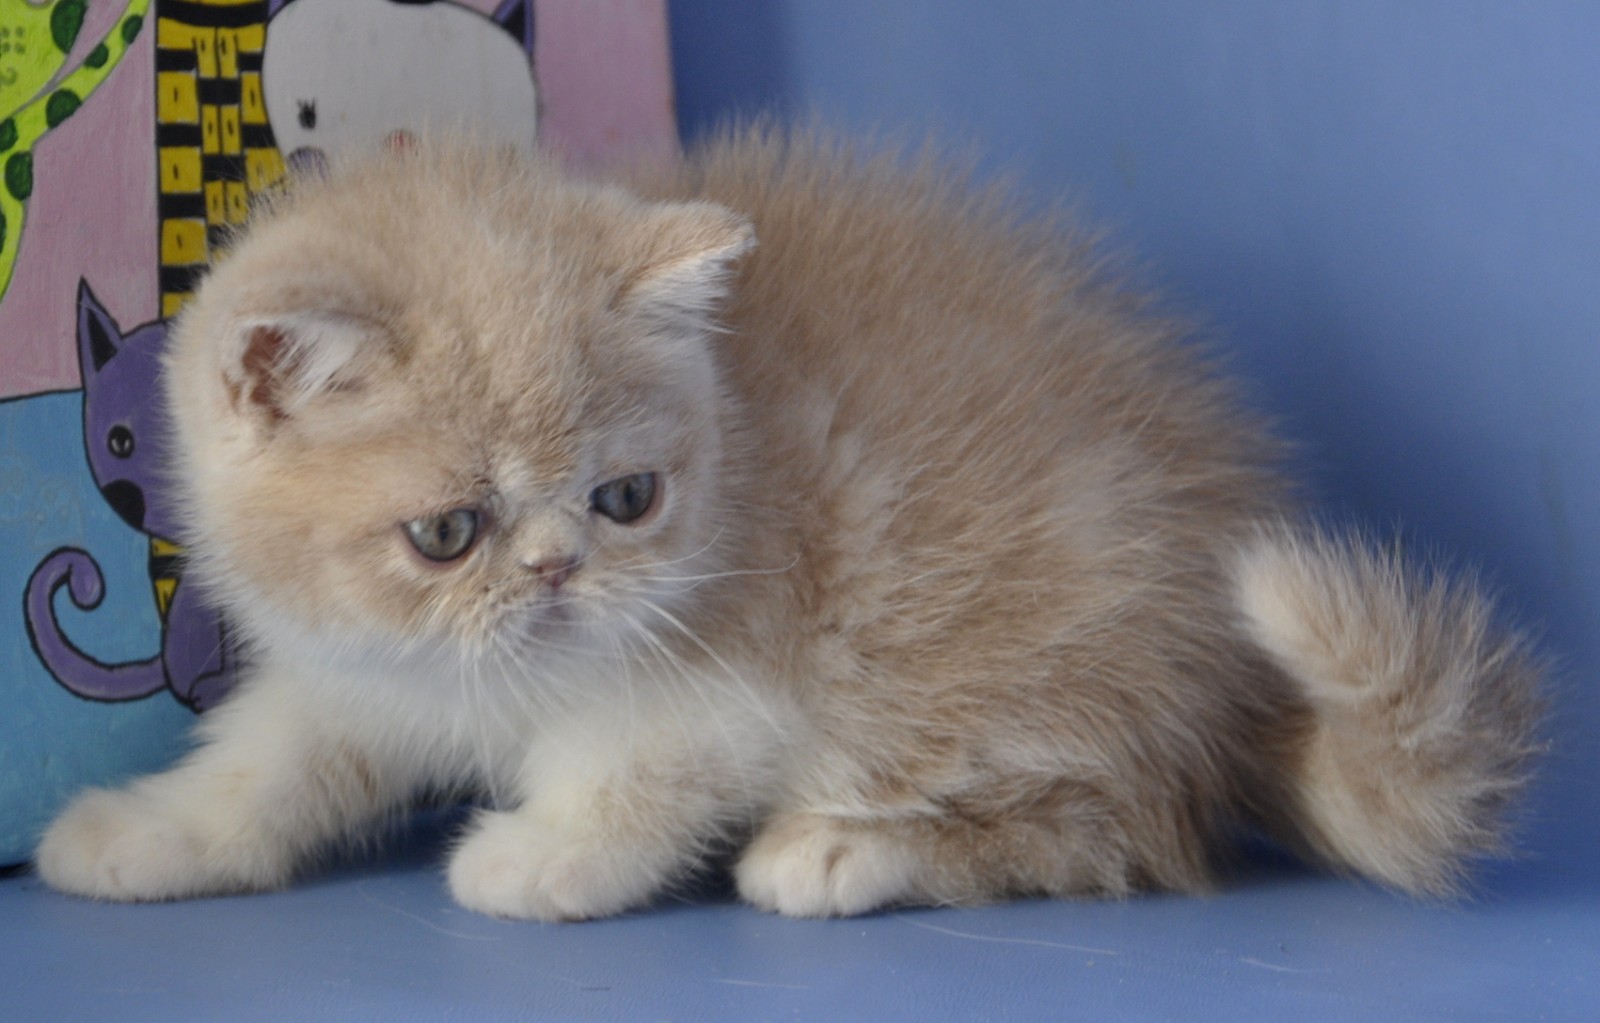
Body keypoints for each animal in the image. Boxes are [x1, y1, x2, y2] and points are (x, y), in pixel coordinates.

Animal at [34, 128, 1536, 922]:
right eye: (448, 532)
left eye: (625, 499)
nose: (558, 567)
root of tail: (1227, 694)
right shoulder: (353, 673)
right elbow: (263, 768)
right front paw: (136, 830)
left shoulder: (728, 680)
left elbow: (631, 776)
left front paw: (542, 853)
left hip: (966, 653)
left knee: (1109, 825)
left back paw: (841, 847)